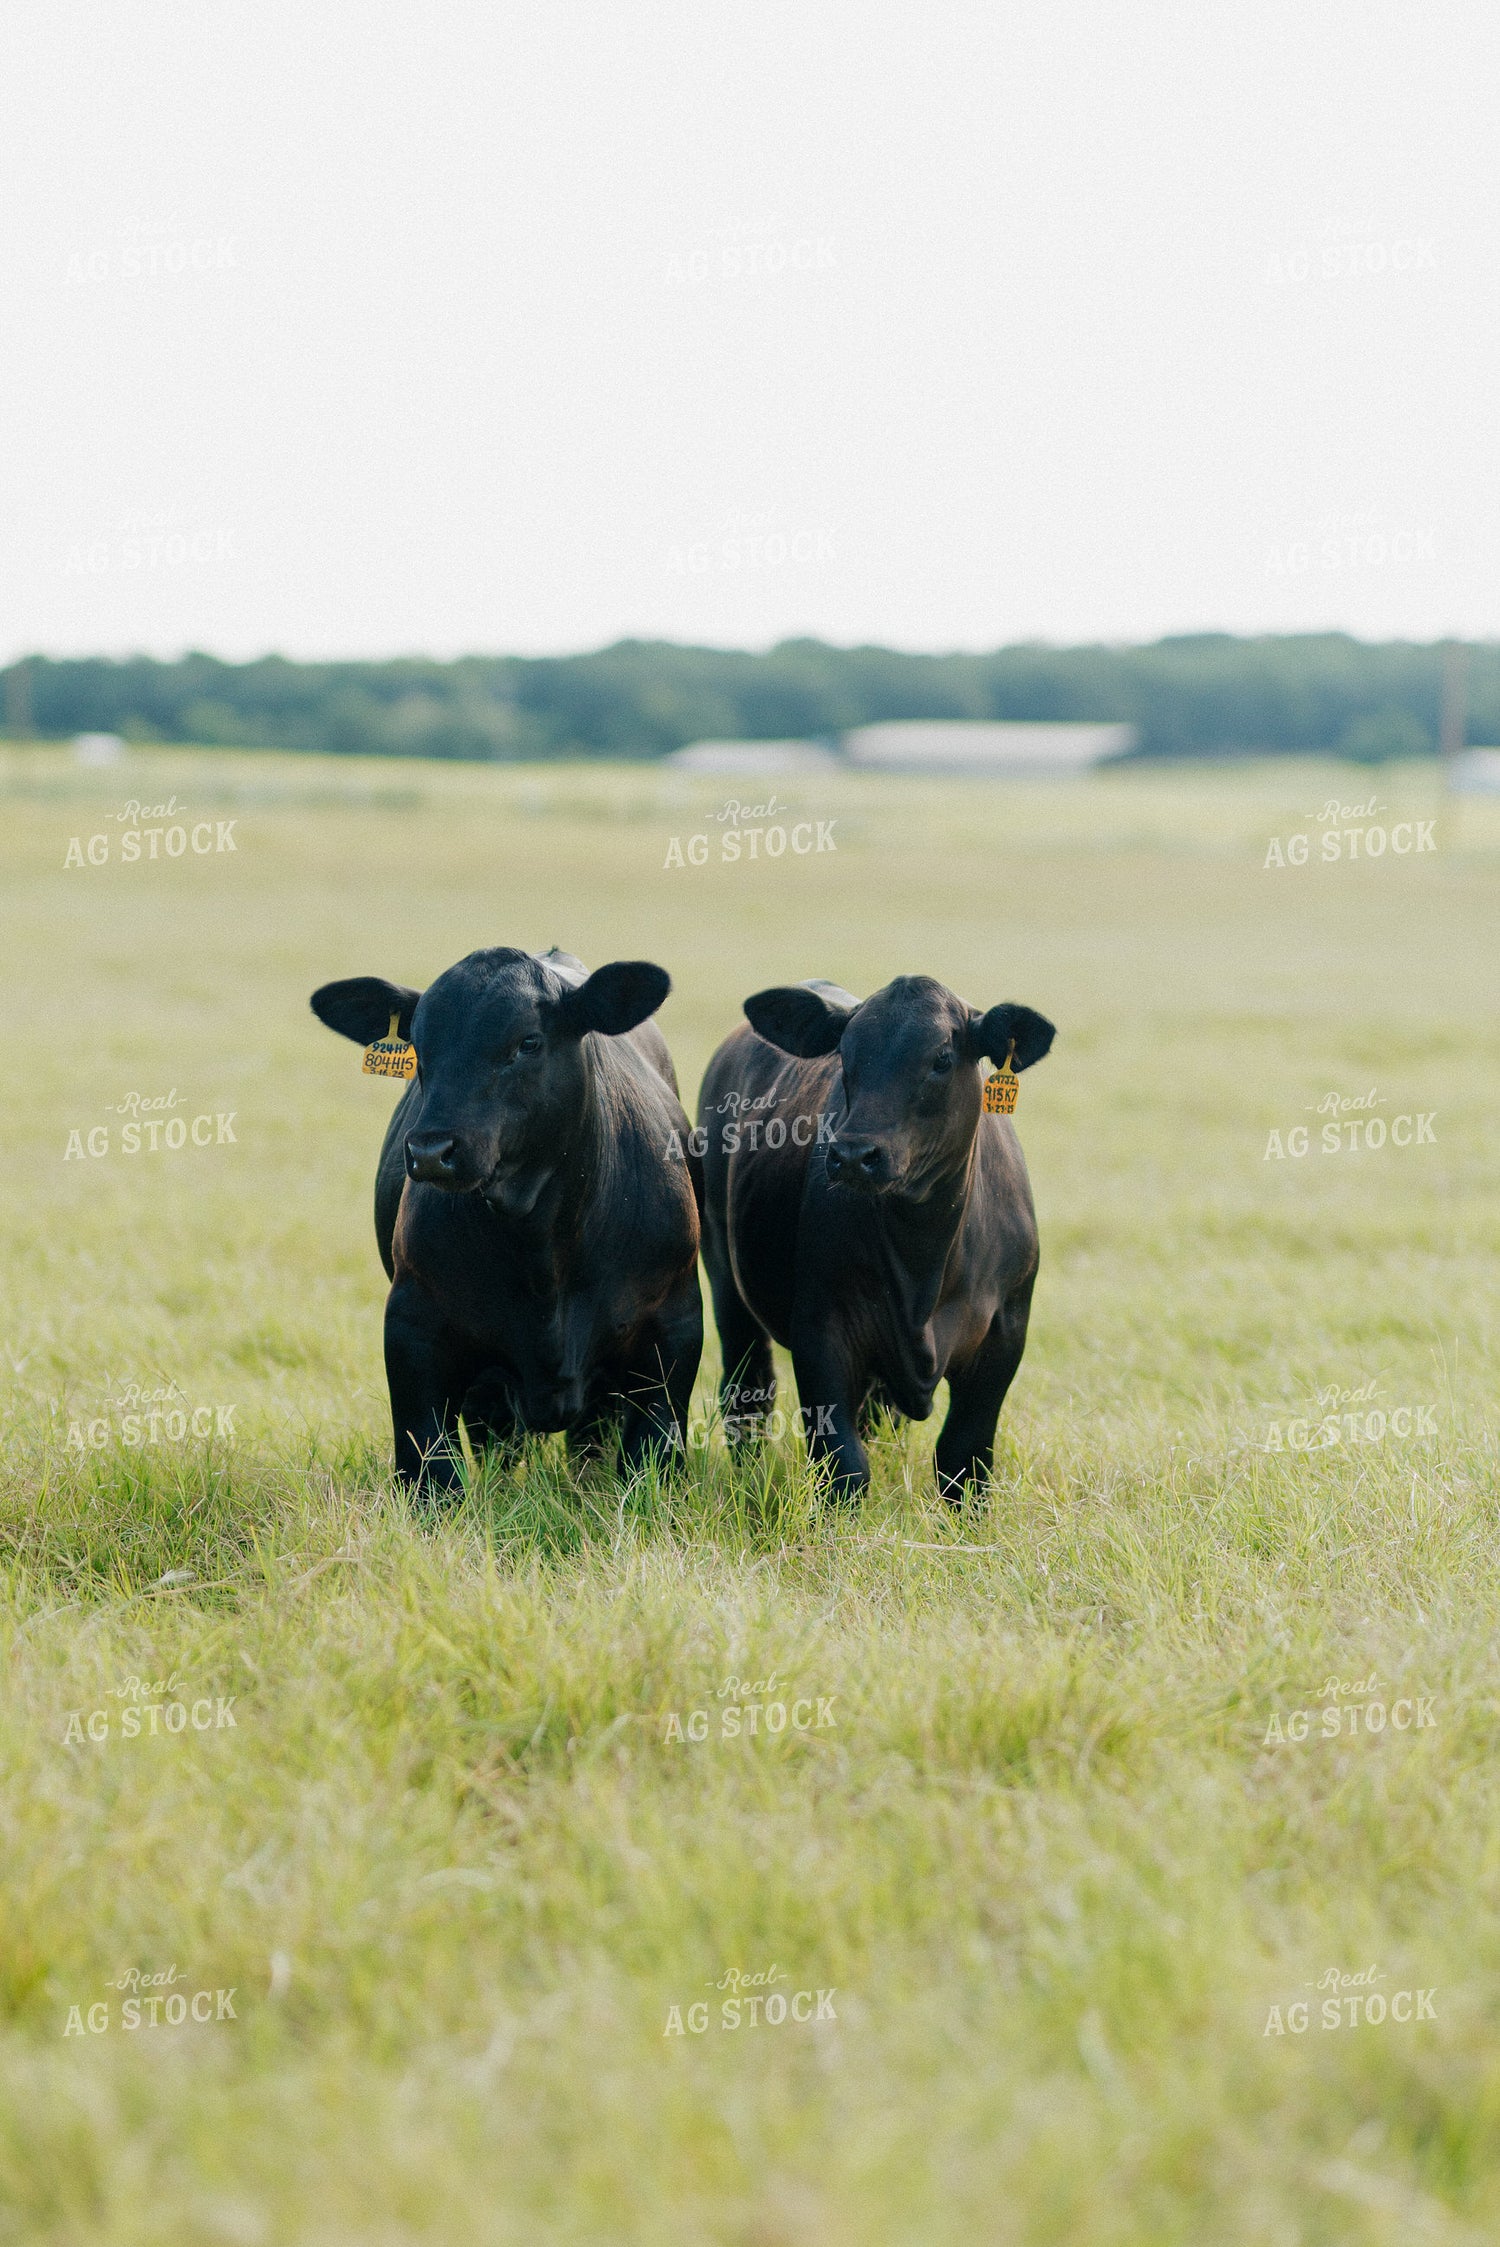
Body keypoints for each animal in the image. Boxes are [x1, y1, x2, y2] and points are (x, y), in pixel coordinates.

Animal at [310, 946, 702, 1494]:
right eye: (419, 1049)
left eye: (528, 1042)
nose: (430, 1151)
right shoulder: (413, 1324)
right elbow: (429, 1464)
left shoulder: (675, 1321)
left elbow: (651, 1455)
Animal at [697, 974, 1055, 1502]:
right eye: (845, 1055)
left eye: (942, 1059)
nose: (852, 1155)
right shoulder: (821, 1330)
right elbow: (843, 1467)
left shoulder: (1006, 1330)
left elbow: (963, 1460)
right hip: (724, 1275)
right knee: (747, 1393)